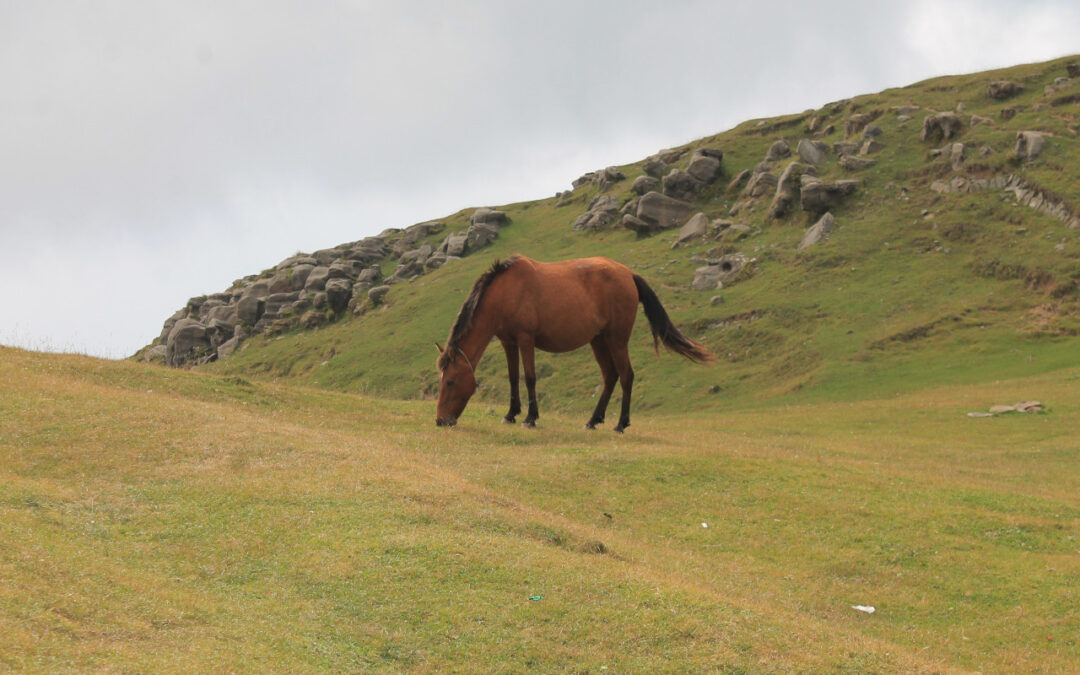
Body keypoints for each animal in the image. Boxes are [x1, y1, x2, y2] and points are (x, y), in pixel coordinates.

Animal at [434, 252, 712, 432]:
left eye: (450, 381)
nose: (440, 420)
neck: (506, 292)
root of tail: (628, 274)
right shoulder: (508, 342)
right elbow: (513, 378)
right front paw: (511, 414)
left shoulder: (525, 339)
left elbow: (530, 377)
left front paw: (530, 418)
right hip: (598, 341)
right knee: (610, 376)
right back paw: (593, 420)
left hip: (617, 340)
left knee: (626, 376)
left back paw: (620, 424)